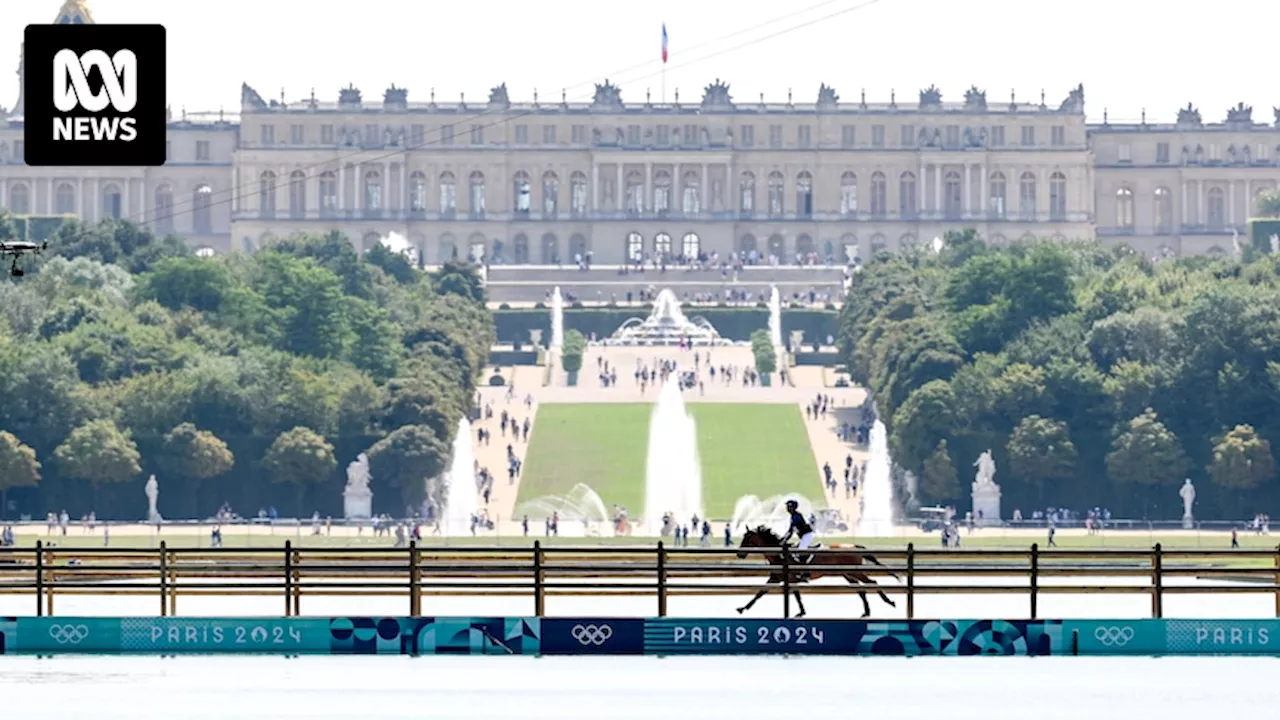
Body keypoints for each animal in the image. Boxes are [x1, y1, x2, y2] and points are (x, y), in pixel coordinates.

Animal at [732, 520, 901, 617]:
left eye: (747, 538)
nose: (739, 554)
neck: (779, 554)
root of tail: (855, 546)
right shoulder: (776, 578)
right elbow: (760, 592)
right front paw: (743, 608)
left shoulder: (789, 578)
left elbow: (794, 595)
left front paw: (801, 612)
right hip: (848, 574)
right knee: (861, 589)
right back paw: (866, 612)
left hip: (854, 572)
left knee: (871, 582)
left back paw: (889, 601)